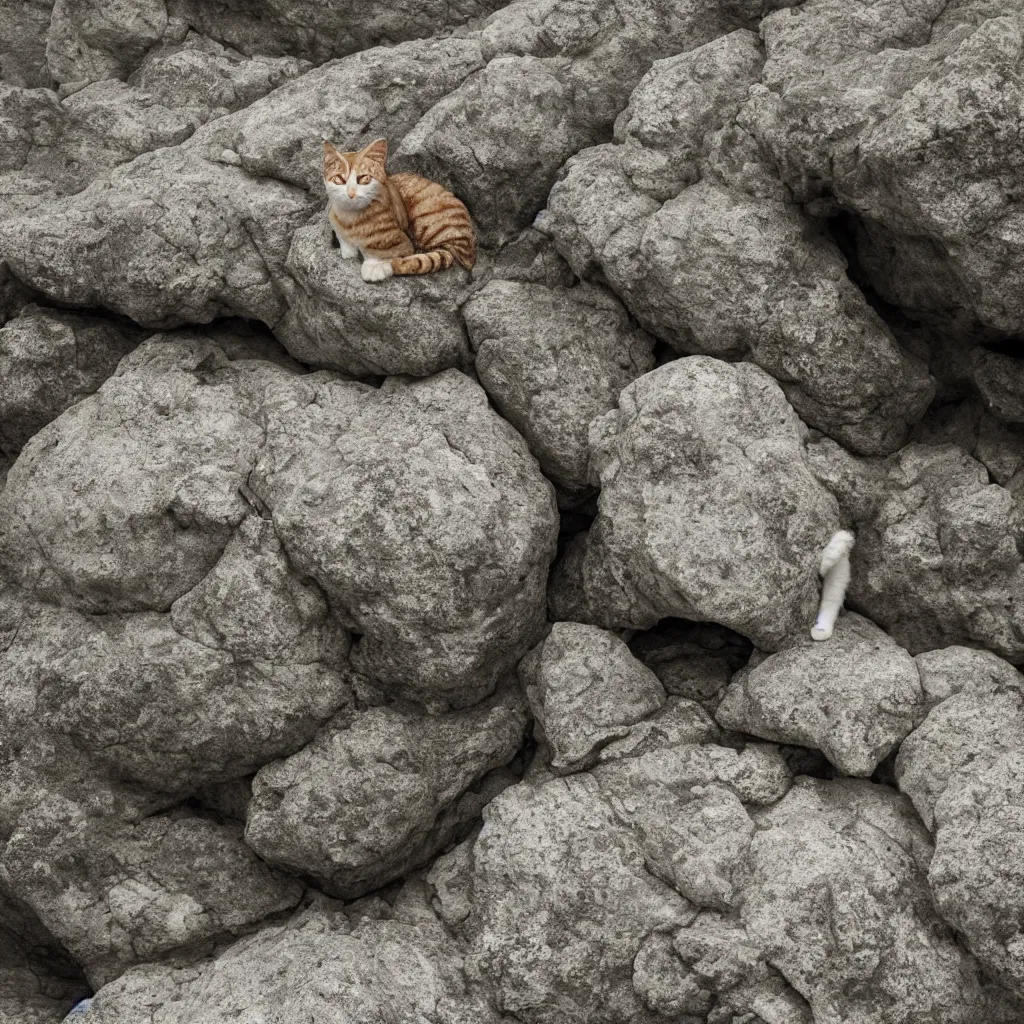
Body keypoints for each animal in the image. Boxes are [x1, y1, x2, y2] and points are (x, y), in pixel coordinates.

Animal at [323, 138, 475, 284]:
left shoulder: (402, 243)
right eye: (339, 179)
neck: (350, 218)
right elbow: (345, 244)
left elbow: (387, 255)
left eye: (364, 178)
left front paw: (375, 267)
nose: (351, 193)